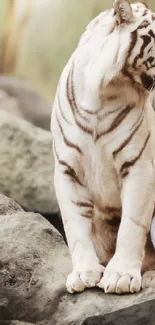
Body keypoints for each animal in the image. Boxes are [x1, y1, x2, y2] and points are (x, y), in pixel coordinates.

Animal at [50, 0, 155, 294]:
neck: (104, 93)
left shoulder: (139, 166)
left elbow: (132, 224)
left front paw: (121, 277)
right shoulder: (67, 170)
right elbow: (75, 226)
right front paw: (83, 273)